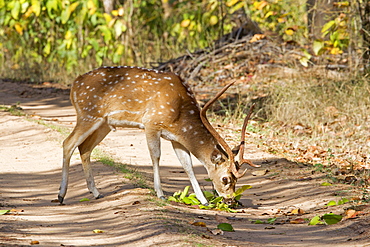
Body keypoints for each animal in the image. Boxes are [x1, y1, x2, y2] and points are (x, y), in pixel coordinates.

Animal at [58, 65, 258, 205]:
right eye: (226, 178)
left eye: (236, 180)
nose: (231, 200)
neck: (181, 115)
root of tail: (74, 86)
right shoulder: (151, 123)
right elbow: (156, 156)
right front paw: (160, 194)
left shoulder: (176, 139)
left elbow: (187, 165)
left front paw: (203, 200)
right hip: (88, 114)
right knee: (68, 143)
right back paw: (61, 195)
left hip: (104, 124)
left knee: (84, 148)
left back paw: (96, 192)